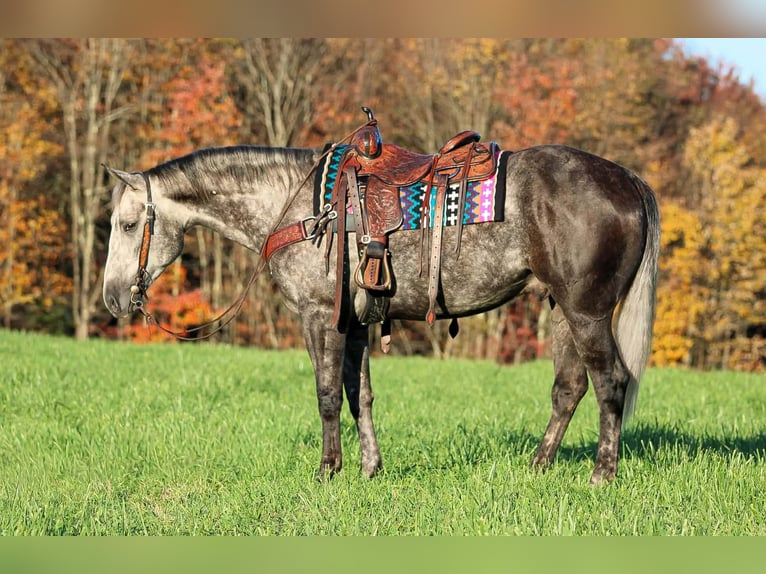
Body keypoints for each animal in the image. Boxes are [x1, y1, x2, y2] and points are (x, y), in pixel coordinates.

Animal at [102, 140, 660, 485]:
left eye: (129, 225)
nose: (112, 299)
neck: (301, 209)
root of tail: (629, 179)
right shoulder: (355, 325)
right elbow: (360, 396)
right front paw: (370, 468)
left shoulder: (319, 317)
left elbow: (328, 396)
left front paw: (328, 471)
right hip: (562, 310)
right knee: (569, 389)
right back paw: (538, 466)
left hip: (587, 313)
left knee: (611, 383)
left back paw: (601, 475)